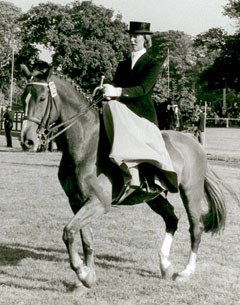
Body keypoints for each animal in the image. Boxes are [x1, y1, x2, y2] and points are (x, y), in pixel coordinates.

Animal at [19, 64, 229, 290]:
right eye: (23, 97)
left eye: (42, 98)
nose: (27, 141)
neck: (87, 147)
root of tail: (194, 142)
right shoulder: (77, 203)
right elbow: (86, 239)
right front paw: (89, 277)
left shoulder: (99, 203)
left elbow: (68, 232)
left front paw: (82, 273)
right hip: (153, 197)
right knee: (172, 219)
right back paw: (165, 266)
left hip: (190, 192)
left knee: (196, 227)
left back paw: (186, 272)